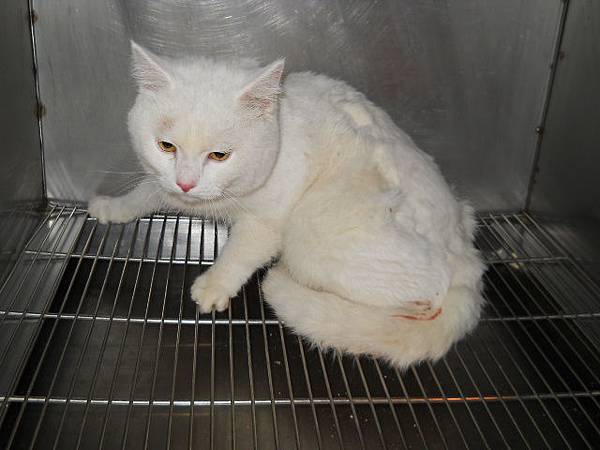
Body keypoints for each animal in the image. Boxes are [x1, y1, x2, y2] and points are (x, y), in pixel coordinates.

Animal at [89, 41, 485, 368]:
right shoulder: (165, 184)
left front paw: (213, 286)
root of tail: (467, 254)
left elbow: (239, 253)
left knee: (426, 294)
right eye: (166, 146)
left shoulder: (267, 223)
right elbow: (147, 191)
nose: (186, 182)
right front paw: (112, 206)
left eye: (220, 155)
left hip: (311, 236)